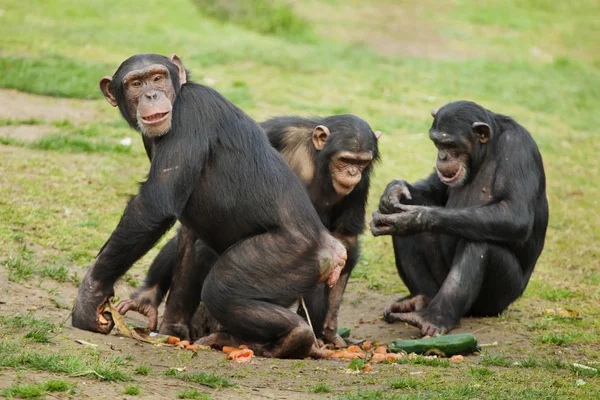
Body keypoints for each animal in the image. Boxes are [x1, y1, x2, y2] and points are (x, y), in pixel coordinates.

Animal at [71, 54, 346, 360]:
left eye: (157, 78)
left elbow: (154, 206)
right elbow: (188, 240)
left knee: (222, 289)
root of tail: (333, 251)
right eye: (136, 83)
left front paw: (90, 296)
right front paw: (170, 328)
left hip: (291, 256)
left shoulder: (190, 112)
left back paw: (295, 335)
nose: (151, 95)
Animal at [116, 113, 380, 346]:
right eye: (345, 160)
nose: (352, 172)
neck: (317, 162)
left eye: (361, 163)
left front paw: (330, 329)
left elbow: (346, 238)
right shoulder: (272, 133)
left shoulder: (362, 184)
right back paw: (150, 299)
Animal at [372, 100, 552, 334]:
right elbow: (434, 191)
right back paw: (419, 299)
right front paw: (393, 192)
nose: (442, 156)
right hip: (438, 282)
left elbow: (515, 213)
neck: (486, 150)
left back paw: (434, 318)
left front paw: (414, 218)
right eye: (437, 143)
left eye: (451, 145)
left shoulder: (519, 148)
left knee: (479, 244)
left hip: (498, 301)